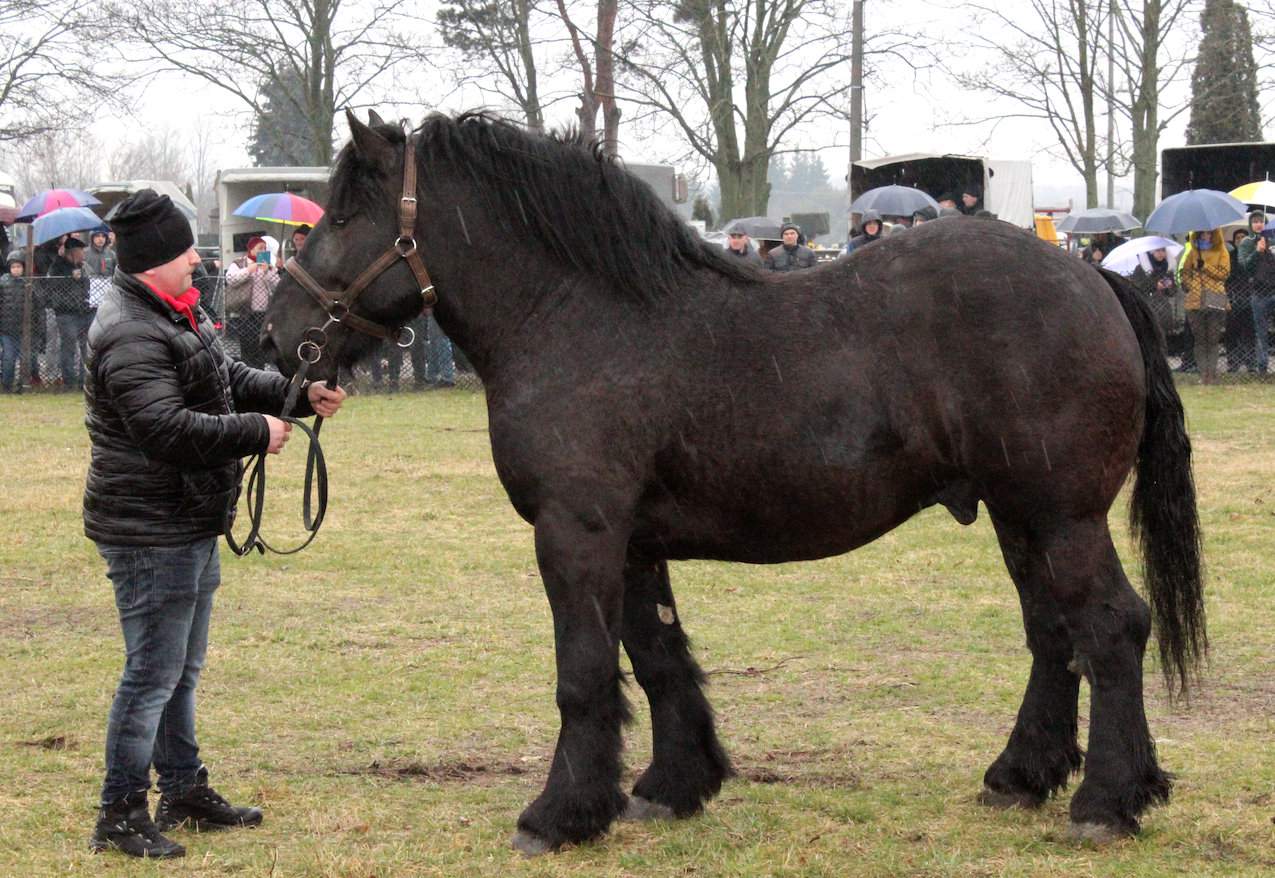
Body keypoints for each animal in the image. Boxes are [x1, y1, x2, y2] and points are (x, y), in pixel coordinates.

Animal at [261, 112, 1203, 851]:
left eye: (341, 213)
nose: (272, 337)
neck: (578, 318)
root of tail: (1091, 275)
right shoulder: (630, 542)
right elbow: (656, 656)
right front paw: (670, 787)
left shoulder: (575, 530)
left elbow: (583, 672)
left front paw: (558, 815)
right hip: (1018, 516)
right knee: (1052, 634)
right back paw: (1023, 775)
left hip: (1062, 515)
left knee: (1110, 627)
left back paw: (1105, 803)